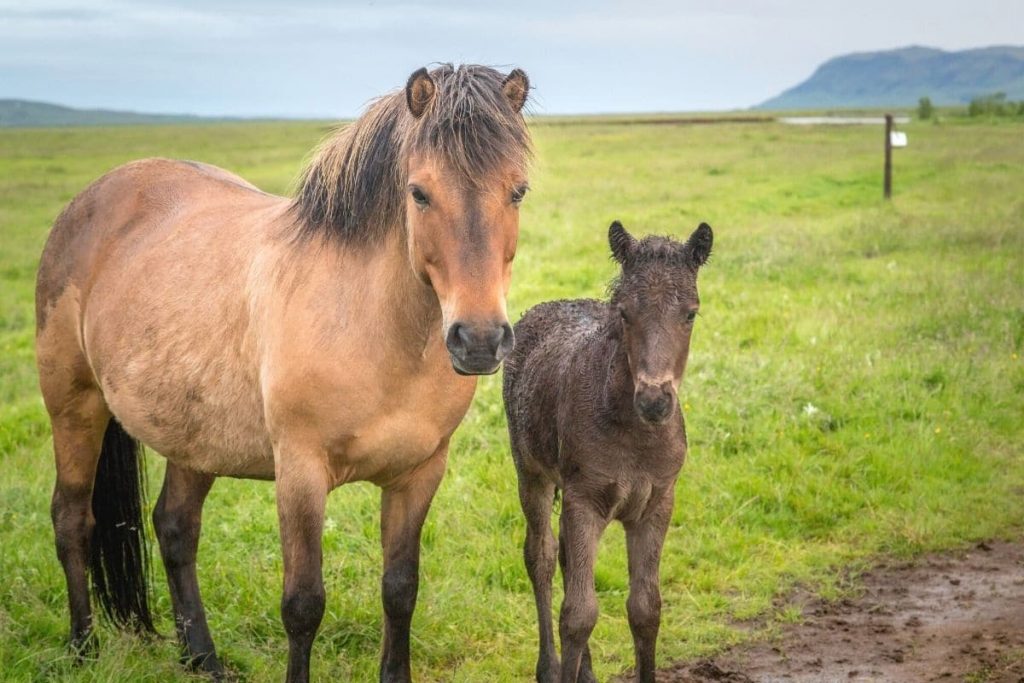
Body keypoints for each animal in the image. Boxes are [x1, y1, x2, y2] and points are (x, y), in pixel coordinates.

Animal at [36, 61, 532, 679]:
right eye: (419, 193)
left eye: (518, 191)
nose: (480, 340)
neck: (374, 330)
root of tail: (93, 197)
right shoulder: (300, 473)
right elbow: (302, 605)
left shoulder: (419, 473)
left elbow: (400, 590)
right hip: (75, 405)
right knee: (72, 519)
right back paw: (83, 647)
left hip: (194, 436)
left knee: (175, 529)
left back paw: (202, 657)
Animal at [501, 222, 712, 679]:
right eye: (625, 312)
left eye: (690, 313)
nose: (654, 400)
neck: (634, 433)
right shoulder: (584, 501)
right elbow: (578, 614)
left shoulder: (657, 504)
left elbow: (646, 609)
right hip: (531, 473)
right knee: (542, 557)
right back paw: (549, 668)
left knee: (564, 559)